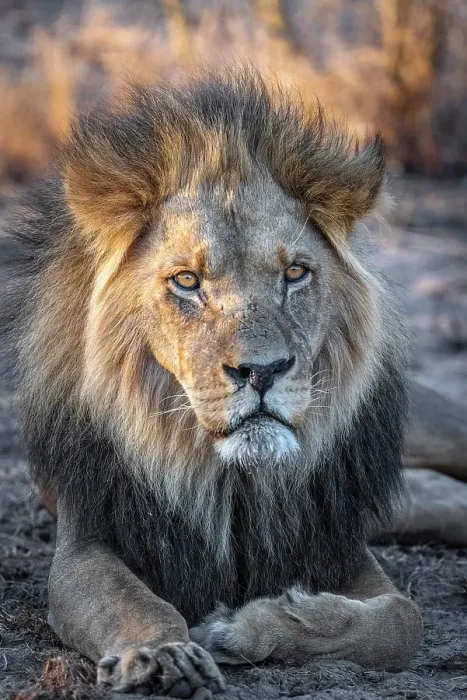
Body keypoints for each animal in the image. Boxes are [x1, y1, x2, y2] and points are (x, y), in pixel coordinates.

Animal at [3, 69, 430, 697]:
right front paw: (162, 657)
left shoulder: (335, 540)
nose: (262, 371)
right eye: (187, 281)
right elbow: (137, 605)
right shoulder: (87, 541)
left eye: (295, 273)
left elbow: (402, 620)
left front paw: (243, 627)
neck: (229, 480)